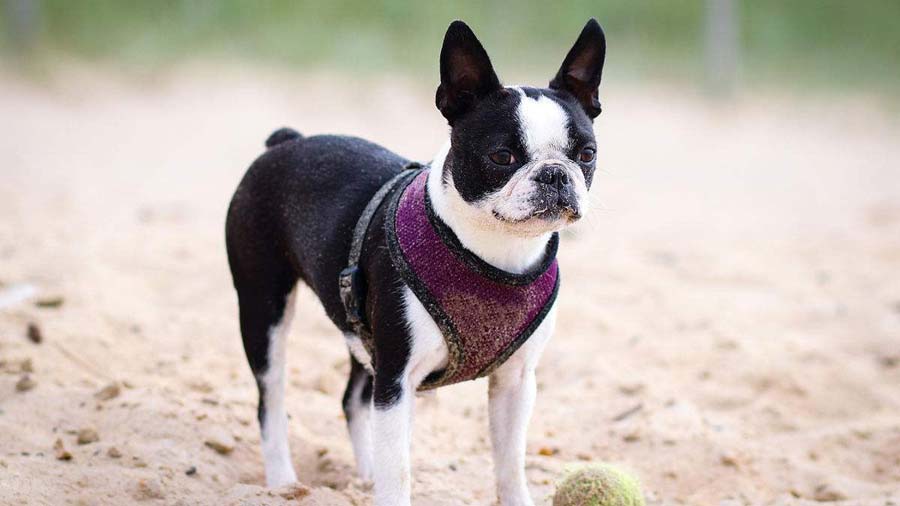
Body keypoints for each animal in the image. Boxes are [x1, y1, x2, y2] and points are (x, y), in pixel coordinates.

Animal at [225, 17, 604, 504]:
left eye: (587, 155)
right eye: (502, 156)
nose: (555, 174)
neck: (496, 255)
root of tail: (286, 142)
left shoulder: (515, 382)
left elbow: (510, 465)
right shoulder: (397, 380)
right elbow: (399, 471)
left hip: (360, 326)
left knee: (352, 399)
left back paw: (363, 475)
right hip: (263, 308)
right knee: (270, 400)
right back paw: (283, 483)